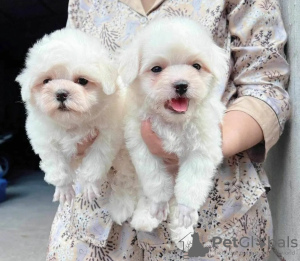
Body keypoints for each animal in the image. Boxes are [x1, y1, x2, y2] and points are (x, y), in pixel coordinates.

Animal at [15, 27, 122, 203]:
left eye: (82, 81)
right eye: (46, 81)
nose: (61, 93)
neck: (73, 123)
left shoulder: (106, 137)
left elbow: (95, 161)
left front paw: (89, 186)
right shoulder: (45, 140)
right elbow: (56, 164)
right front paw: (63, 188)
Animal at [117, 16, 227, 248]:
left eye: (196, 66)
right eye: (157, 69)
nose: (181, 85)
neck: (173, 123)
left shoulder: (202, 149)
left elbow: (191, 182)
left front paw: (186, 210)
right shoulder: (142, 146)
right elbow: (154, 178)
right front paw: (158, 203)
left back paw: (182, 233)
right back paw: (145, 218)